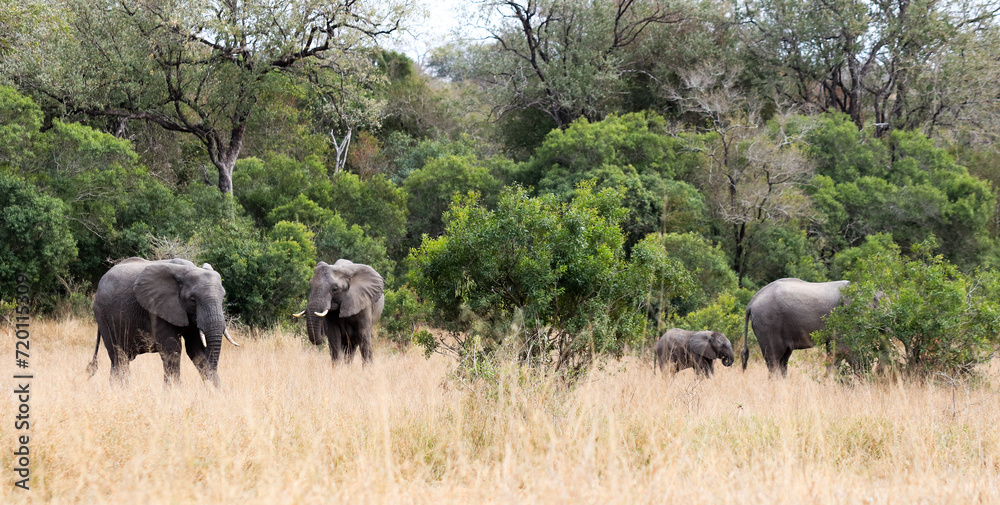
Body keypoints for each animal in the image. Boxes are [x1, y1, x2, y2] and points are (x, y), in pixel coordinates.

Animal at [88, 257, 239, 386]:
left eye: (223, 297)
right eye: (193, 300)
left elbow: (196, 350)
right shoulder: (157, 307)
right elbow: (173, 349)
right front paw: (174, 393)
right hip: (102, 314)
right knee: (118, 357)